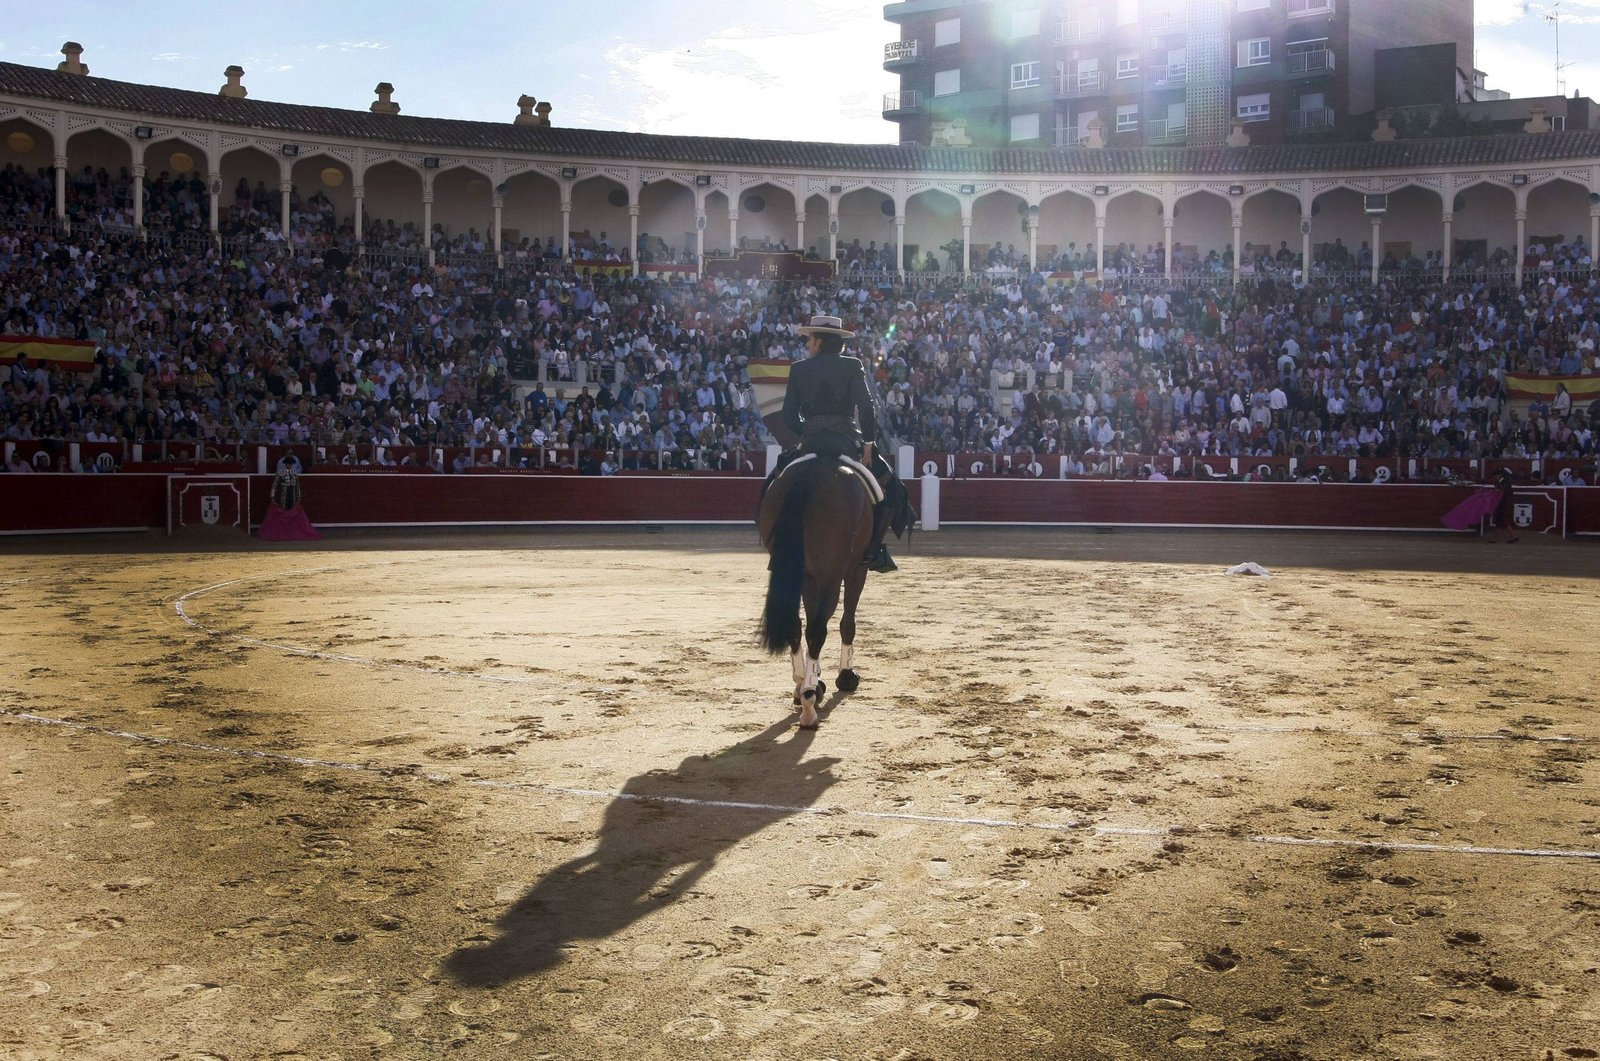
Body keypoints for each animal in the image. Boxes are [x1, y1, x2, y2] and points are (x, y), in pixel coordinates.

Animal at [752, 457, 870, 729]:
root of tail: (811, 473)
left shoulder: (808, 577)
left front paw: (815, 679)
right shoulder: (857, 568)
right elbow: (847, 622)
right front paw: (845, 676)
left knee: (795, 625)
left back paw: (801, 686)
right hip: (831, 575)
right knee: (818, 630)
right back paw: (808, 705)